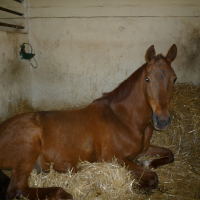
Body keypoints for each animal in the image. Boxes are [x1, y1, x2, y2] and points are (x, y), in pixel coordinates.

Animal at [0, 44, 177, 199]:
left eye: (174, 79)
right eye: (147, 79)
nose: (162, 120)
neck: (124, 118)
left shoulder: (143, 150)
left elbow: (170, 154)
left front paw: (149, 163)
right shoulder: (116, 159)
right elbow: (152, 178)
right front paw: (137, 183)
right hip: (28, 148)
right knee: (16, 189)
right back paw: (62, 193)